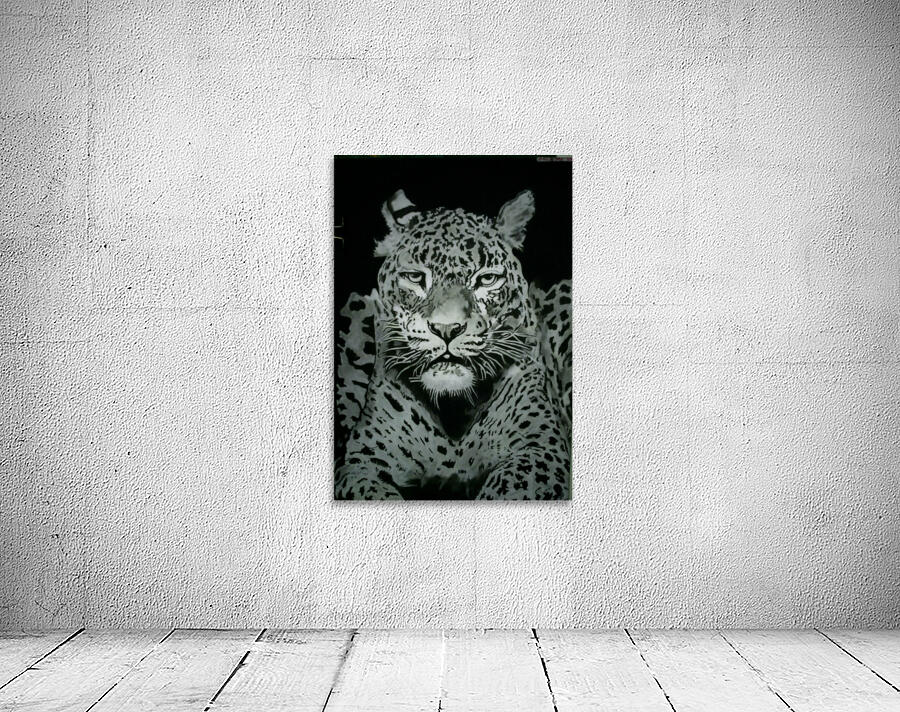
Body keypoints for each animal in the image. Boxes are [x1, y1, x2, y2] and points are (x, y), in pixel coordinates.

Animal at [334, 188, 571, 500]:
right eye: (415, 277)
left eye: (487, 279)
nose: (447, 329)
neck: (453, 411)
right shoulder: (360, 463)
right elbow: (374, 494)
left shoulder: (542, 450)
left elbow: (505, 487)